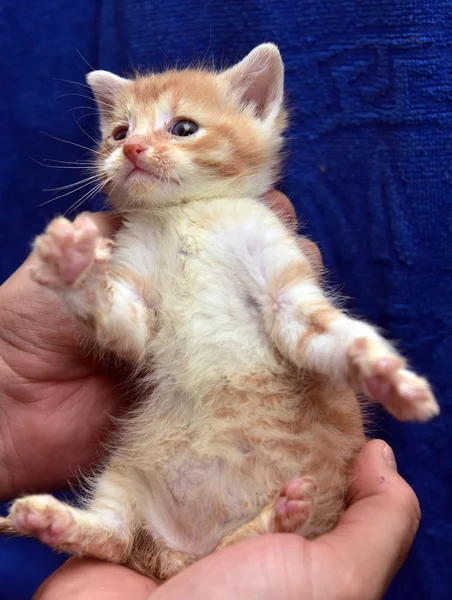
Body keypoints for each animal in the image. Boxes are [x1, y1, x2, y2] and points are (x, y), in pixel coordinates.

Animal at [0, 44, 438, 580]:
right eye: (120, 132)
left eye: (183, 127)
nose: (132, 149)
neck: (185, 213)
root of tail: (182, 552)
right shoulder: (137, 310)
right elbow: (117, 314)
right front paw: (74, 267)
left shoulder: (281, 286)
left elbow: (326, 332)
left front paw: (386, 376)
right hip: (125, 469)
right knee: (116, 538)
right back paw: (53, 522)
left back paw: (279, 518)